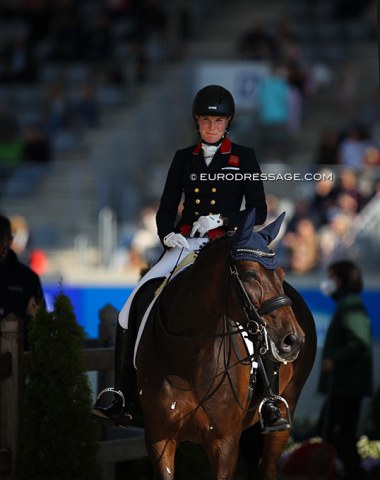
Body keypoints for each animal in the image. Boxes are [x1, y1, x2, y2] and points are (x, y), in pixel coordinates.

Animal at [135, 211, 316, 480]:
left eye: (282, 274)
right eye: (250, 274)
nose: (293, 340)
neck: (190, 354)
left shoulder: (224, 443)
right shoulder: (160, 438)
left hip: (287, 408)